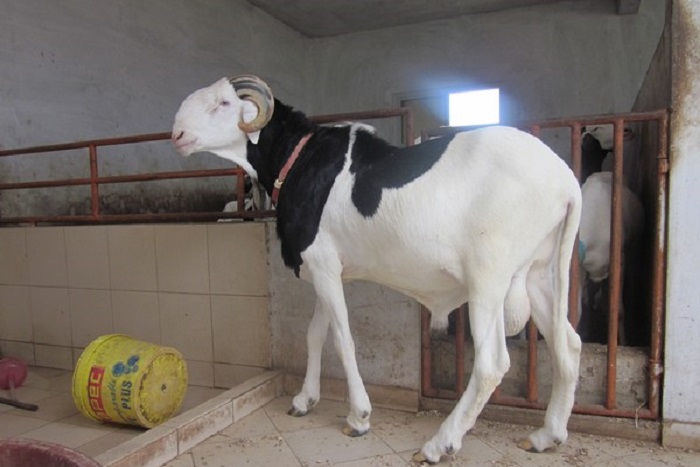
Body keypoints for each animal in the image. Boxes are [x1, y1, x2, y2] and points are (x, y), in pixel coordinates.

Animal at [172, 75, 583, 464]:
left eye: (224, 103)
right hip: (540, 273)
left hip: (488, 276)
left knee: (492, 363)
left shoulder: (321, 264)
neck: (301, 160)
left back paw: (439, 444)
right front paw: (305, 399)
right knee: (568, 344)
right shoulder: (328, 268)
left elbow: (343, 339)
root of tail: (565, 180)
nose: (176, 133)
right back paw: (547, 436)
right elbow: (315, 334)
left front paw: (359, 417)